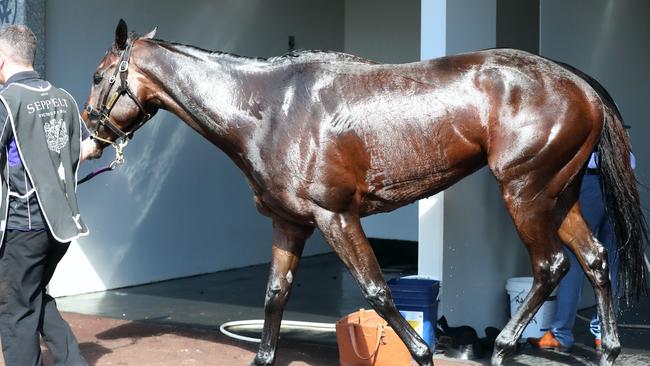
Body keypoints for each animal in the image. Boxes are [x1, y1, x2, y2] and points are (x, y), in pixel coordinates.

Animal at [81, 20, 644, 366]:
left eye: (98, 75)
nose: (87, 136)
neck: (271, 109)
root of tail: (579, 82)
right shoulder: (289, 223)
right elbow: (275, 294)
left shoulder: (336, 216)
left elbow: (376, 291)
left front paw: (422, 352)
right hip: (559, 195)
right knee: (595, 259)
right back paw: (609, 349)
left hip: (525, 193)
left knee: (551, 266)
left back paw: (503, 347)